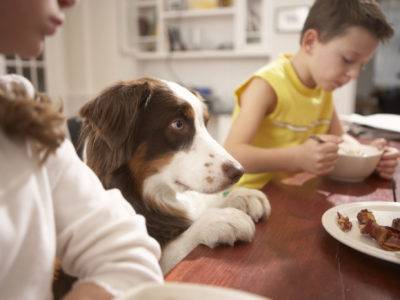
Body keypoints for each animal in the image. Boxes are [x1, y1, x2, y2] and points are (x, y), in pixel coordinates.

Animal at [79, 77, 272, 274]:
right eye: (178, 124)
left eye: (205, 124)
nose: (239, 171)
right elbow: (171, 248)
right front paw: (219, 219)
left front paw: (241, 196)